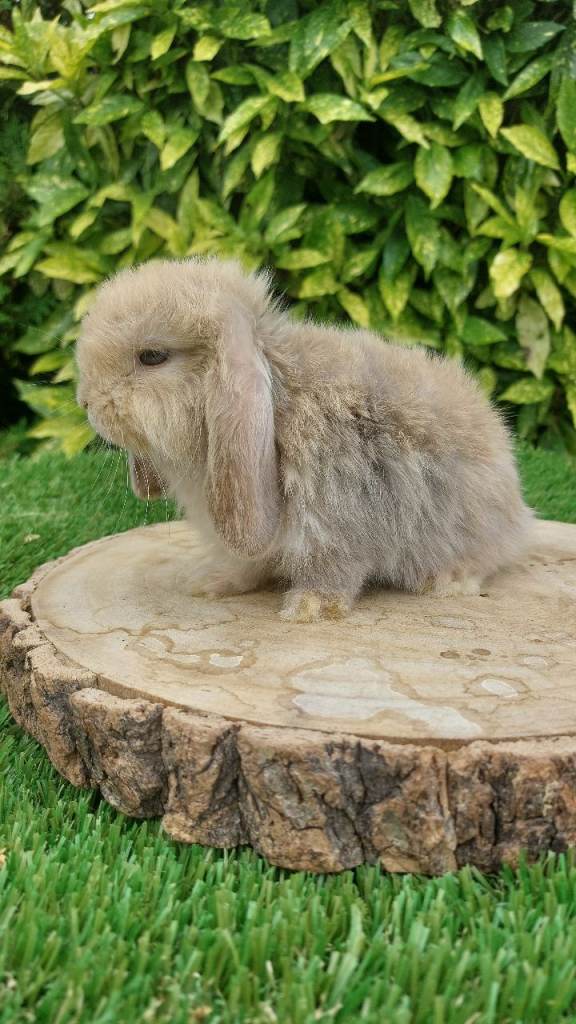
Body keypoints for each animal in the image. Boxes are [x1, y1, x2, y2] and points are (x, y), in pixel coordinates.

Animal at [75, 256, 533, 623]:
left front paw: (308, 609)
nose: (86, 402)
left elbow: (333, 570)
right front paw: (210, 581)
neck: (280, 401)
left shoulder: (337, 521)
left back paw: (446, 579)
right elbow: (244, 563)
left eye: (152, 356)